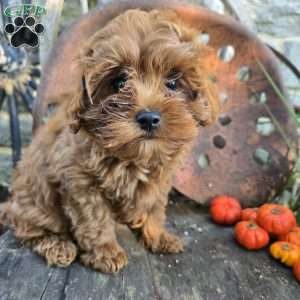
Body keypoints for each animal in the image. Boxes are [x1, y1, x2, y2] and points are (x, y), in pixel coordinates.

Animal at [1, 9, 219, 274]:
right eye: (119, 82)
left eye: (173, 83)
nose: (148, 118)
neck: (133, 157)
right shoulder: (79, 181)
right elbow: (95, 218)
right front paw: (106, 252)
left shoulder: (160, 179)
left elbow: (154, 207)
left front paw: (158, 236)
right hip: (36, 204)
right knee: (27, 229)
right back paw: (58, 246)